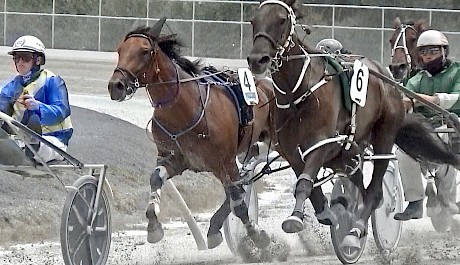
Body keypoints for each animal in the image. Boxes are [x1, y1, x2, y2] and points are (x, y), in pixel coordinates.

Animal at [107, 19, 276, 250]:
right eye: (119, 50)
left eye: (144, 51)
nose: (115, 86)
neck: (185, 108)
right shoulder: (175, 159)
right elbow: (156, 178)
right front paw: (153, 227)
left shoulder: (225, 163)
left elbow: (239, 203)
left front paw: (256, 235)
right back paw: (214, 227)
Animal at [246, 0, 460, 252]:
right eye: (253, 21)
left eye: (281, 20)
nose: (257, 59)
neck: (297, 93)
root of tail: (389, 82)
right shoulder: (291, 150)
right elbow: (309, 184)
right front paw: (327, 212)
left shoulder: (323, 143)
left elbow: (305, 183)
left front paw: (295, 218)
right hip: (350, 150)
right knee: (362, 185)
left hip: (384, 137)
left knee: (375, 192)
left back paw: (355, 231)